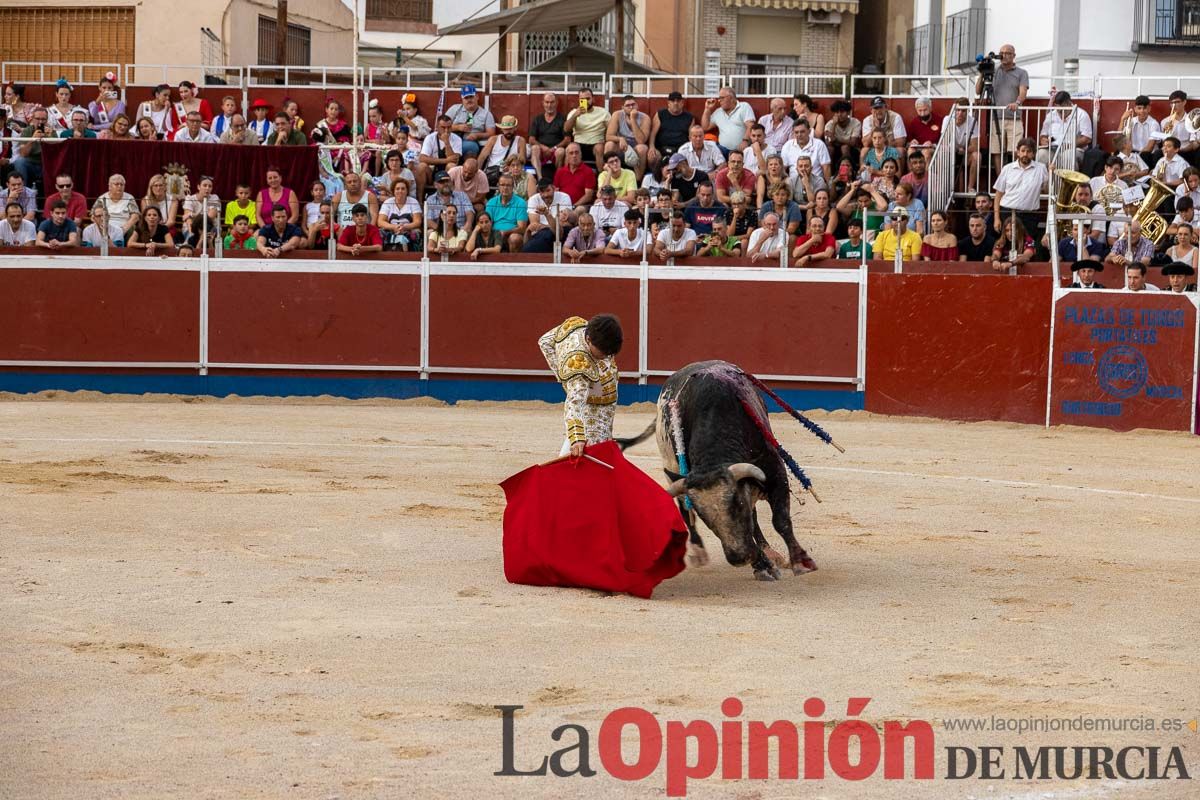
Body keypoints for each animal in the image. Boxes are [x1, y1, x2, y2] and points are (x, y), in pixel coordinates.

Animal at [614, 362, 820, 582]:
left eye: (738, 504)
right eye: (703, 515)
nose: (739, 557)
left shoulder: (775, 472)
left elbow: (780, 520)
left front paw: (801, 561)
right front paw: (762, 566)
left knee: (755, 518)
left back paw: (771, 553)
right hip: (672, 467)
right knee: (686, 512)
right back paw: (700, 552)